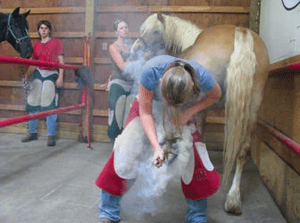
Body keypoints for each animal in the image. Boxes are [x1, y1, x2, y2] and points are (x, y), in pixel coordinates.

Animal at [131, 12, 270, 214]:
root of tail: (240, 32)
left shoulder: (194, 108)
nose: (135, 48)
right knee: (242, 150)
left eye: (155, 31)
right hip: (250, 109)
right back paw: (233, 198)